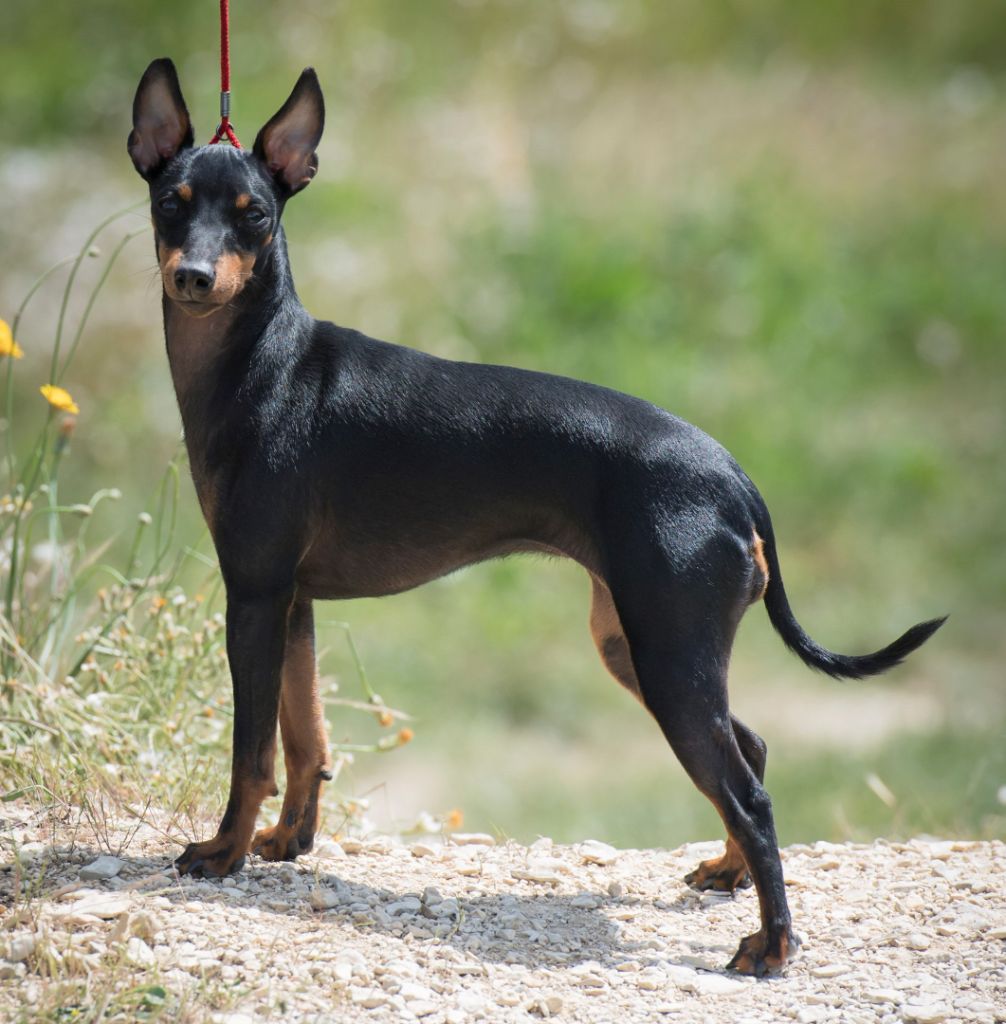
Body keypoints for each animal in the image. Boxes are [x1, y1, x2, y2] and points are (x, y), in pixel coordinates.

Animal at [126, 58, 946, 974]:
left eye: (255, 216)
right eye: (171, 203)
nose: (194, 278)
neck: (261, 363)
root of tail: (734, 478)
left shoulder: (255, 597)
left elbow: (250, 753)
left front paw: (224, 852)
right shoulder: (292, 601)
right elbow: (306, 741)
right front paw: (285, 843)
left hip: (668, 658)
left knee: (751, 793)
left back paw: (771, 945)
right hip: (638, 646)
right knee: (753, 754)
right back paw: (728, 873)